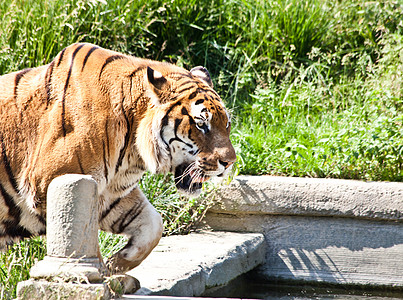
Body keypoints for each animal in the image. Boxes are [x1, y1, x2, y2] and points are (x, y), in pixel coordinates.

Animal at [0, 42, 237, 274]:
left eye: (226, 123)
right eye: (201, 124)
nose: (229, 162)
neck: (132, 152)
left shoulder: (112, 195)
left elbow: (154, 225)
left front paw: (118, 264)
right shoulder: (52, 182)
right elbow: (83, 237)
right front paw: (96, 274)